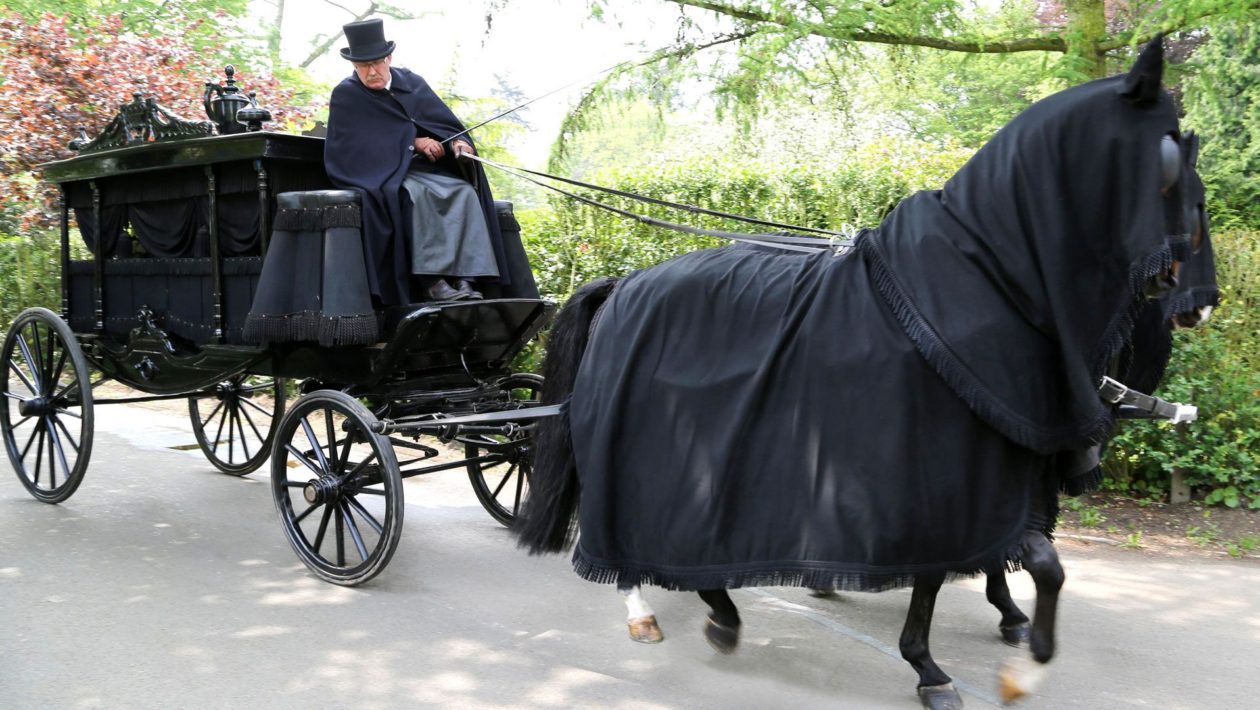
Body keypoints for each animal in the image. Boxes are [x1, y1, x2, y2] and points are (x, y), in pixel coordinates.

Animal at [516, 40, 1204, 710]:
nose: (1194, 298)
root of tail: (622, 285)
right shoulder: (942, 488)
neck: (988, 284)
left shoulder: (986, 487)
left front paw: (1006, 650)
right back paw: (656, 612)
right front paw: (942, 666)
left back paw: (717, 613)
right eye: (1173, 161)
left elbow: (1030, 564)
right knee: (621, 535)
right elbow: (971, 570)